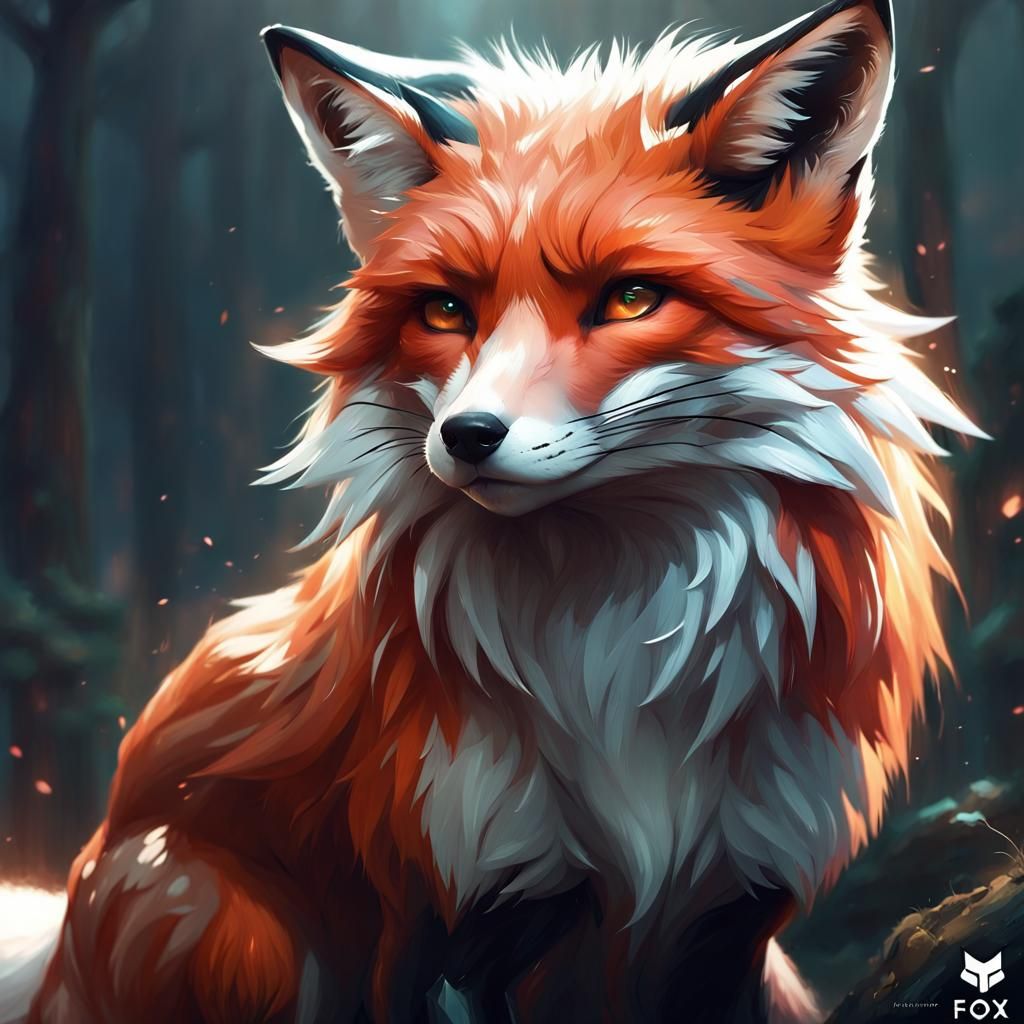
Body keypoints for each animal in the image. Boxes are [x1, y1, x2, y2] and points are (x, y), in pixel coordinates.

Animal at [0, 0, 984, 1021]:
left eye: (631, 297)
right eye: (444, 311)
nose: (467, 435)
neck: (611, 665)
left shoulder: (732, 910)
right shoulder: (443, 911)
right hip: (241, 948)